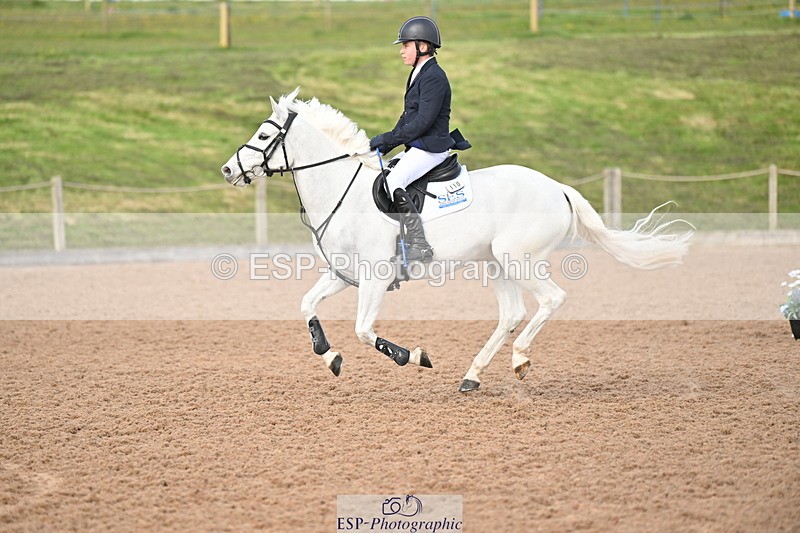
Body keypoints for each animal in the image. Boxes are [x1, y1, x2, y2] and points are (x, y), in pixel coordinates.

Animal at [220, 88, 692, 392]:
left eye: (265, 136)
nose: (227, 170)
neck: (342, 190)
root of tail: (557, 187)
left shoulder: (375, 278)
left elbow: (363, 330)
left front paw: (412, 356)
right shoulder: (343, 274)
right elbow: (306, 306)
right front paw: (329, 355)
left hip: (517, 259)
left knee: (551, 299)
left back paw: (520, 359)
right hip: (495, 263)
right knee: (511, 313)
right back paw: (473, 375)